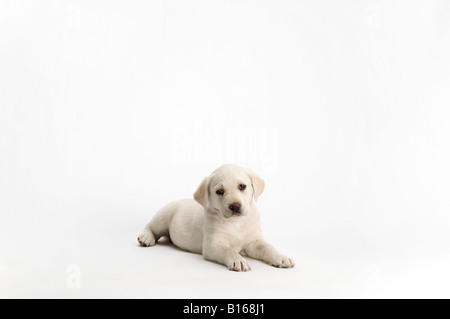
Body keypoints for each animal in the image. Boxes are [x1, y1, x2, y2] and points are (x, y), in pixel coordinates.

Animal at [136, 165, 296, 272]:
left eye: (242, 186)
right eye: (220, 191)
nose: (235, 206)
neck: (236, 223)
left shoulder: (254, 241)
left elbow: (268, 247)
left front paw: (281, 257)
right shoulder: (213, 245)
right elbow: (228, 250)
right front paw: (238, 260)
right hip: (163, 217)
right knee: (150, 226)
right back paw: (146, 238)